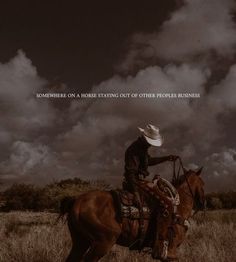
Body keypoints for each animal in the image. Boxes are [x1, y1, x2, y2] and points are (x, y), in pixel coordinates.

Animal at [60, 167, 205, 260]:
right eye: (203, 184)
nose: (203, 203)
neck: (179, 207)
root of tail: (77, 201)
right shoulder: (171, 253)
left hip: (80, 242)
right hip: (102, 244)